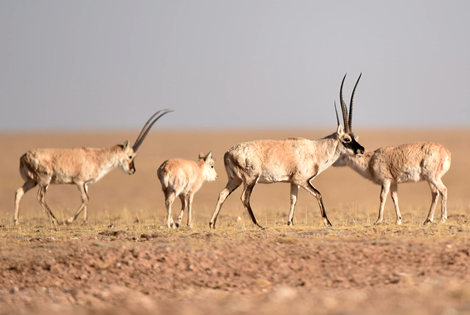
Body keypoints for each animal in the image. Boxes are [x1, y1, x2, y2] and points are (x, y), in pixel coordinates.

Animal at [13, 110, 173, 226]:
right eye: (130, 156)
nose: (132, 170)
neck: (97, 156)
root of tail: (23, 156)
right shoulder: (78, 182)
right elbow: (86, 199)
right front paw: (69, 220)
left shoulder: (86, 184)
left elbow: (88, 198)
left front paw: (84, 220)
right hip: (44, 180)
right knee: (40, 197)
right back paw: (54, 220)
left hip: (32, 181)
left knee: (19, 192)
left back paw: (16, 221)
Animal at [210, 73, 368, 230]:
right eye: (346, 139)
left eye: (354, 137)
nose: (361, 149)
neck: (316, 150)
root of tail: (228, 153)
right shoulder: (302, 180)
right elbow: (318, 194)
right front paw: (328, 222)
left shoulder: (294, 182)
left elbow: (293, 199)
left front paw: (290, 222)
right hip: (250, 179)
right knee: (245, 197)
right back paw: (258, 225)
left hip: (234, 179)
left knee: (222, 194)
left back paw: (212, 223)